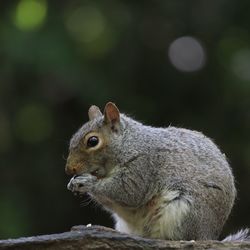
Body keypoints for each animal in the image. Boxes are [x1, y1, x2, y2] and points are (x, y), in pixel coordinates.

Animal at [65, 101, 249, 240]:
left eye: (93, 141)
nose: (69, 169)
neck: (128, 144)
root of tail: (207, 236)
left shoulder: (143, 167)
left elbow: (128, 192)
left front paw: (87, 182)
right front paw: (73, 182)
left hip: (182, 212)